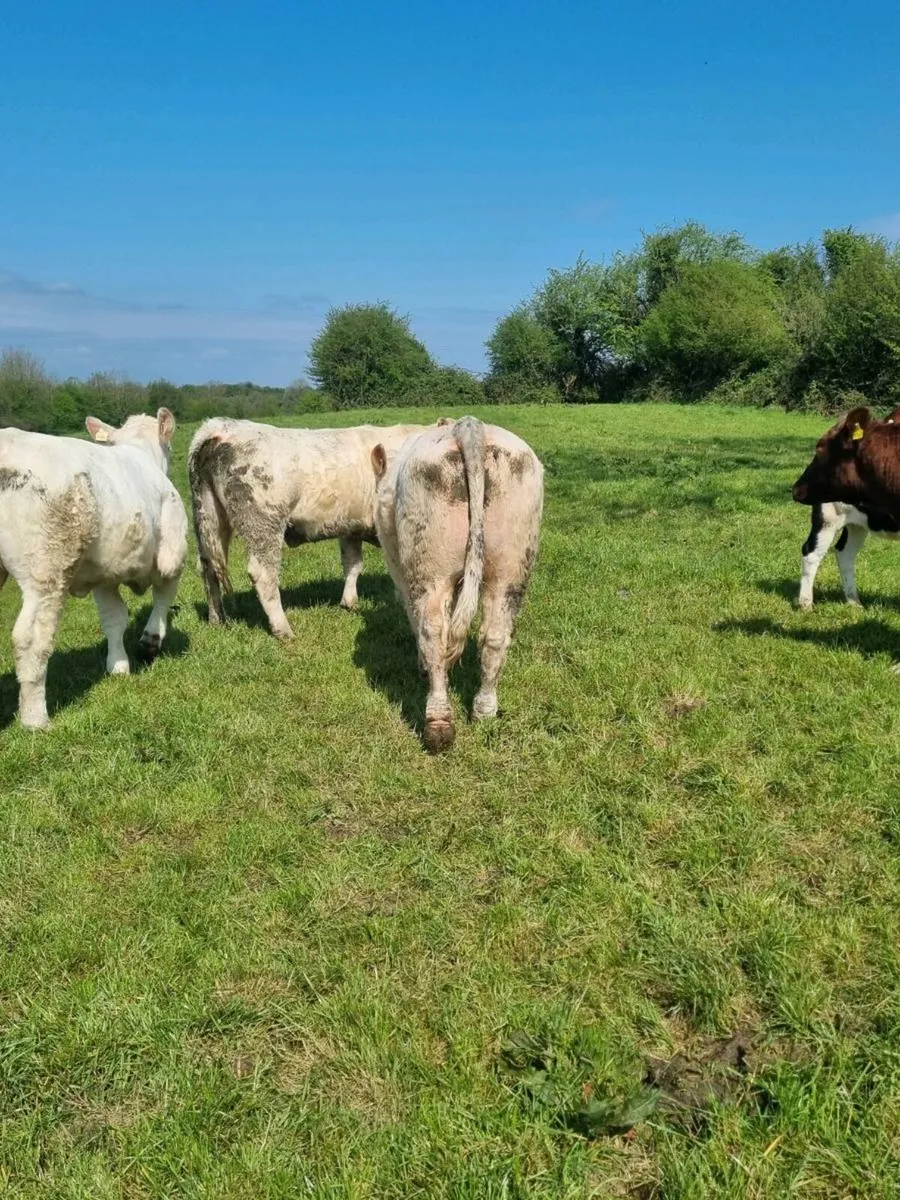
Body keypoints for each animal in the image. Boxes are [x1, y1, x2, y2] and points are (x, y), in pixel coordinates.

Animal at [0, 409, 187, 729]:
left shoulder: (104, 576)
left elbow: (114, 619)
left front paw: (118, 665)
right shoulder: (172, 553)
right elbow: (163, 598)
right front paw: (151, 640)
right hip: (46, 571)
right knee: (31, 639)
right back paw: (36, 719)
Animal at [188, 418, 436, 639]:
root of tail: (219, 428)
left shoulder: (349, 525)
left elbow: (353, 564)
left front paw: (350, 602)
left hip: (209, 520)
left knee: (207, 568)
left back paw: (217, 620)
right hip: (264, 523)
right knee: (263, 575)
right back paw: (283, 630)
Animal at [371, 416, 543, 753]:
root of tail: (469, 425)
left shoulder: (398, 567)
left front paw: (422, 667)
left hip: (429, 568)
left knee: (434, 632)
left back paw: (438, 723)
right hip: (512, 564)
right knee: (495, 635)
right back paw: (484, 711)